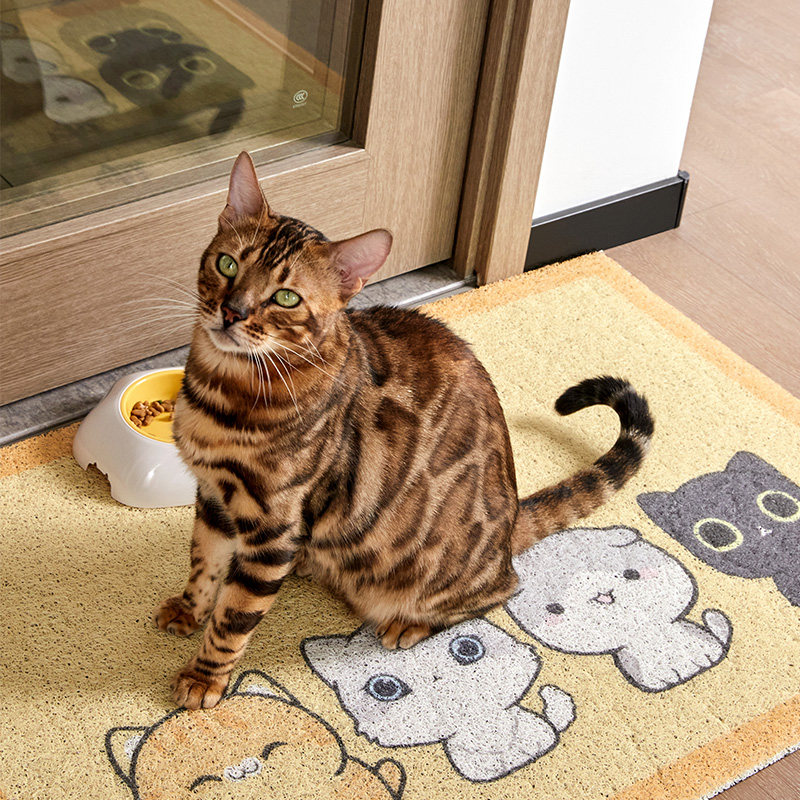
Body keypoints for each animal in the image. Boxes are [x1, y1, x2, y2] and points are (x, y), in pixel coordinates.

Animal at [152, 151, 654, 709]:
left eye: (285, 297)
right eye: (228, 264)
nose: (231, 311)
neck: (223, 393)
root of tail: (507, 534)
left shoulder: (272, 525)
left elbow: (235, 616)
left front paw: (205, 677)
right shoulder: (215, 497)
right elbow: (205, 563)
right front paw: (189, 609)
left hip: (436, 575)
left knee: (500, 591)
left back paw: (408, 624)